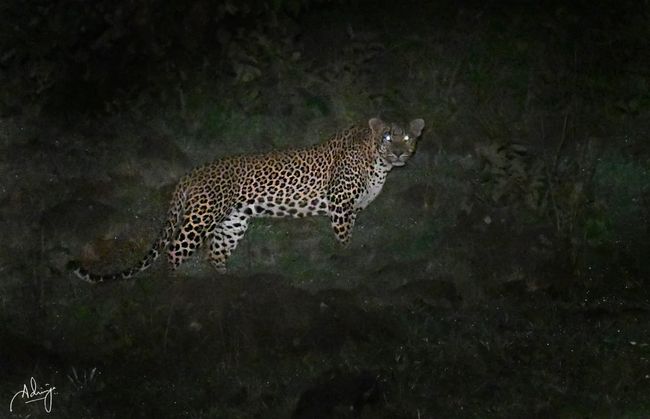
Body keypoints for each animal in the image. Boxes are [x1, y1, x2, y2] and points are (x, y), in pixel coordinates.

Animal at [70, 117, 425, 283]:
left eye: (407, 137)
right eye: (388, 137)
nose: (399, 153)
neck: (377, 162)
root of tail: (189, 174)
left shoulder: (353, 208)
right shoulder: (340, 205)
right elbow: (344, 240)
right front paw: (347, 263)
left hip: (232, 222)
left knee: (214, 254)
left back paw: (226, 283)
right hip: (201, 216)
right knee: (174, 251)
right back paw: (177, 285)